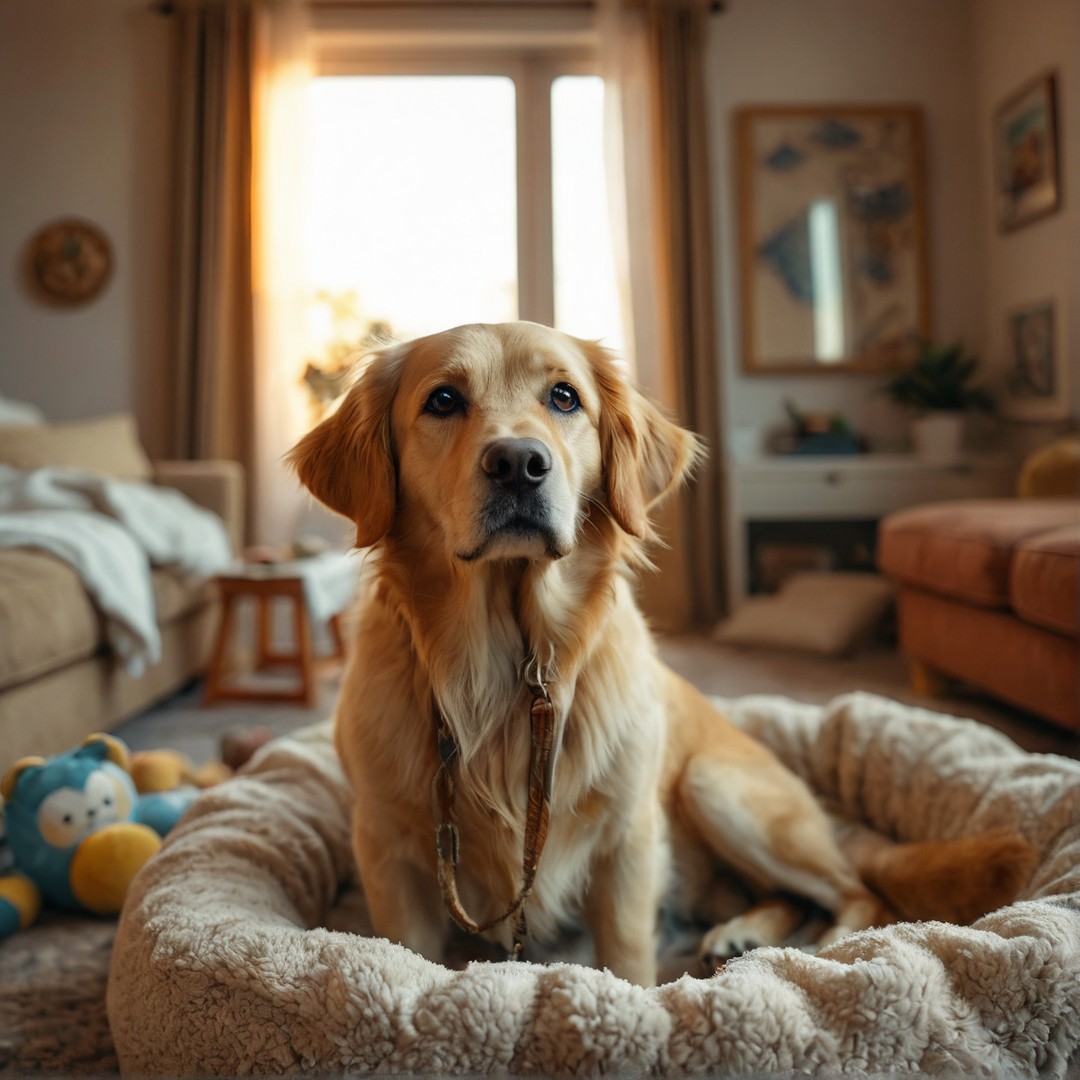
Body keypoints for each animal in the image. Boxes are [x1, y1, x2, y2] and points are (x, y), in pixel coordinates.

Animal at [289, 319, 1036, 989]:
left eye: (564, 397)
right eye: (442, 400)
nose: (519, 464)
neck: (510, 657)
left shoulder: (629, 840)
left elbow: (626, 957)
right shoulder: (388, 850)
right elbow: (408, 952)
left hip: (714, 786)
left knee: (857, 891)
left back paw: (822, 948)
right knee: (790, 896)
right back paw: (742, 932)